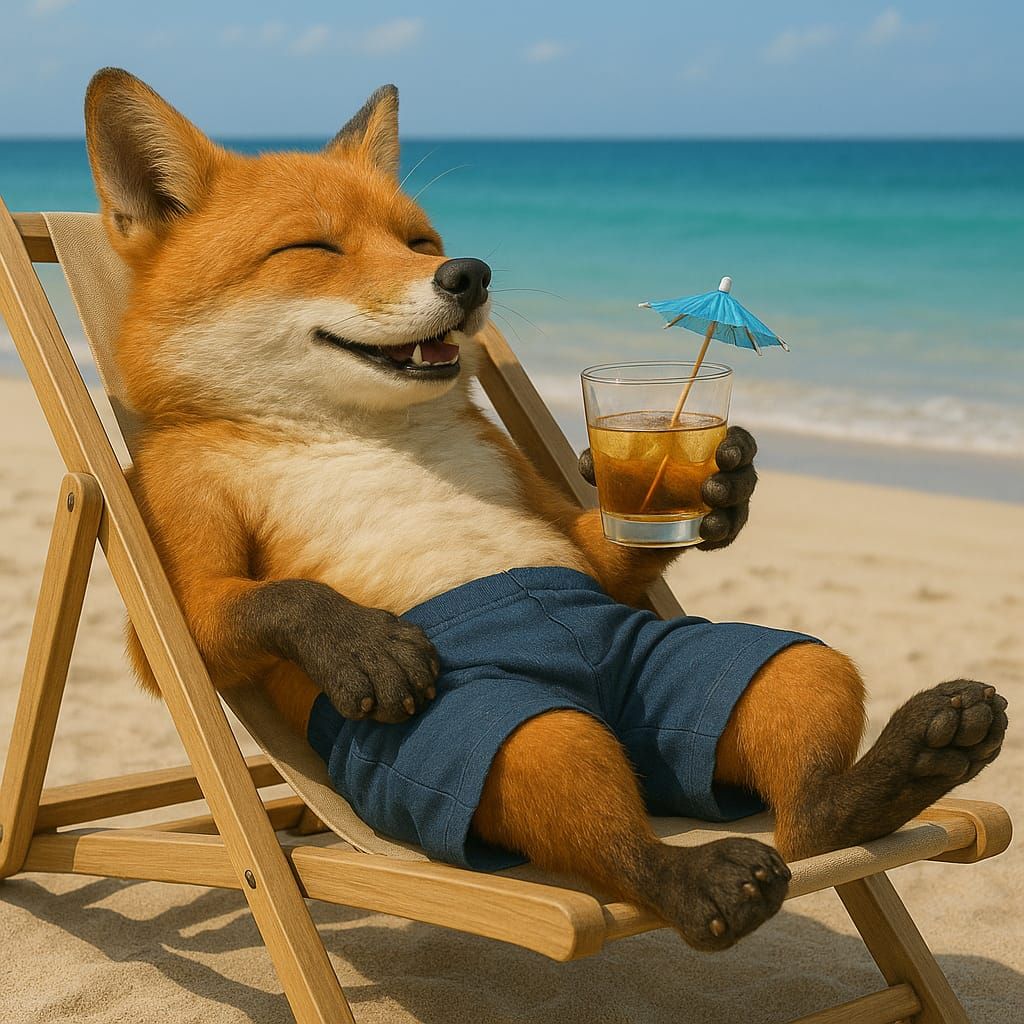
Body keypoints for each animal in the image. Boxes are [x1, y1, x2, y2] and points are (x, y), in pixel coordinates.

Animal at [83, 68, 1007, 953]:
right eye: (312, 246)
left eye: (420, 242)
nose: (468, 274)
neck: (357, 426)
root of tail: (595, 691)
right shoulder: (175, 520)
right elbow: (250, 604)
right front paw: (358, 639)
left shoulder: (523, 476)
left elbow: (601, 548)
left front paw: (722, 489)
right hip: (495, 729)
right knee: (592, 802)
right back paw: (694, 879)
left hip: (693, 663)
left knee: (796, 747)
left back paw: (890, 778)